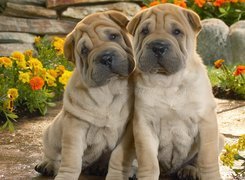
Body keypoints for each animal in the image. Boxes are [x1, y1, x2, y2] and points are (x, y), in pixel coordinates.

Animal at [35, 10, 136, 179]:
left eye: (113, 36)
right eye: (84, 51)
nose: (106, 57)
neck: (109, 88)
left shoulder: (128, 130)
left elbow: (119, 157)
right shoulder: (75, 126)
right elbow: (71, 159)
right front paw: (65, 176)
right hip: (50, 134)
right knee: (53, 155)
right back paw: (46, 165)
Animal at [106, 3, 223, 180]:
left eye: (177, 32)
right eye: (145, 31)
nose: (158, 47)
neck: (168, 82)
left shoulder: (206, 121)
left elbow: (207, 158)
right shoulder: (144, 125)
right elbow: (148, 161)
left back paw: (190, 170)